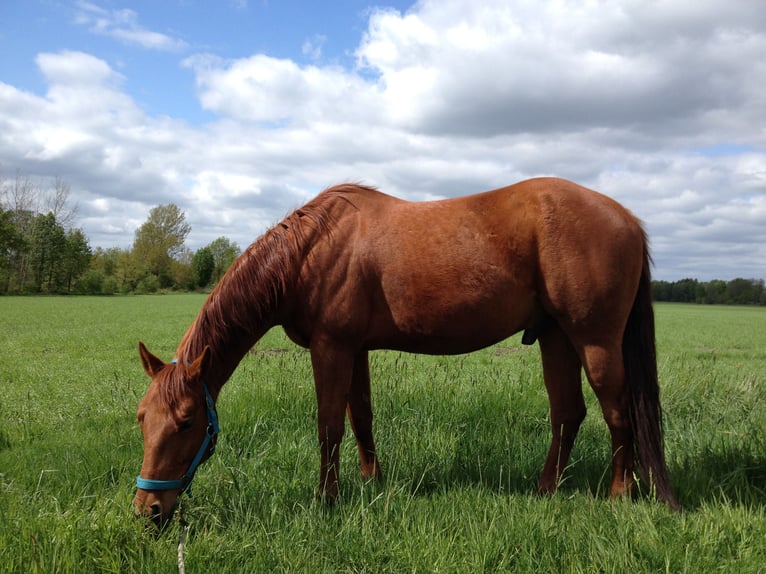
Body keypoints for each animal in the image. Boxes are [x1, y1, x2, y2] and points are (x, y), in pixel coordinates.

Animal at [135, 180, 680, 528]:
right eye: (142, 418)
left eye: (187, 422)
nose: (147, 511)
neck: (311, 251)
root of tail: (628, 220)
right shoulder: (353, 349)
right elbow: (361, 418)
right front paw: (371, 483)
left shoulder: (331, 349)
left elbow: (329, 426)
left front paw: (326, 500)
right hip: (554, 337)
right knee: (568, 413)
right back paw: (546, 490)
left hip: (594, 341)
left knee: (617, 413)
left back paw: (618, 496)